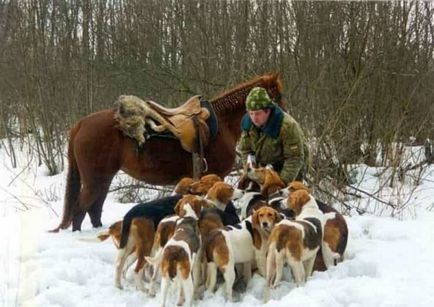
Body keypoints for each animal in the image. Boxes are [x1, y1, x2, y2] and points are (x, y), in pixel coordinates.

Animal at [50, 73, 284, 231]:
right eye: (276, 96)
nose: (282, 116)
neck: (222, 124)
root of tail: (80, 124)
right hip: (95, 180)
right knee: (80, 210)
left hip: (104, 179)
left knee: (94, 209)